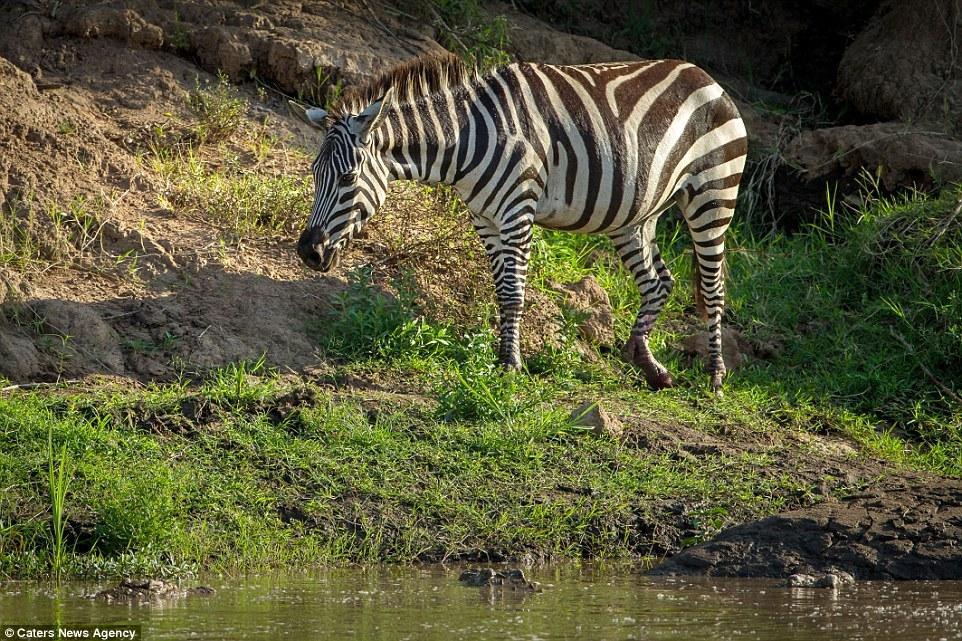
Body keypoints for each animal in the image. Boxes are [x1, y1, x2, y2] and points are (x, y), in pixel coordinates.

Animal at [292, 53, 752, 396]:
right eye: (315, 175)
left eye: (347, 178)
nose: (308, 252)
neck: (466, 138)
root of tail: (705, 77)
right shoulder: (485, 220)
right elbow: (501, 292)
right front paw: (501, 357)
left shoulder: (517, 212)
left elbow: (514, 293)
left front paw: (510, 366)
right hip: (636, 214)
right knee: (658, 282)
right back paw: (647, 364)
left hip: (714, 195)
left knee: (713, 290)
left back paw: (715, 377)